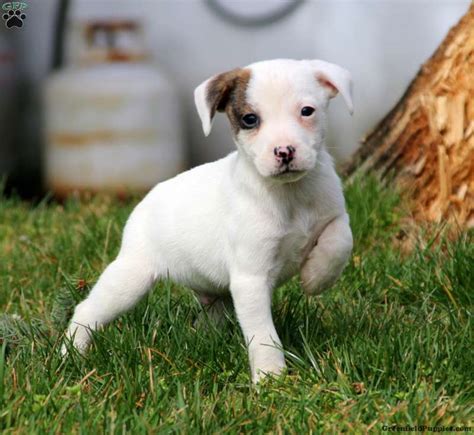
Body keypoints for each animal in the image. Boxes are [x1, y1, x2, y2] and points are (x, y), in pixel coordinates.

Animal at [65, 58, 356, 384]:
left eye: (307, 111)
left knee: (208, 318)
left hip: (213, 294)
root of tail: (147, 197)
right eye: (250, 119)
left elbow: (340, 240)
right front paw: (271, 378)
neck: (289, 193)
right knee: (88, 309)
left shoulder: (334, 215)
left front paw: (317, 277)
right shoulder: (250, 279)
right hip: (130, 277)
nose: (284, 151)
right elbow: (263, 334)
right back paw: (71, 352)